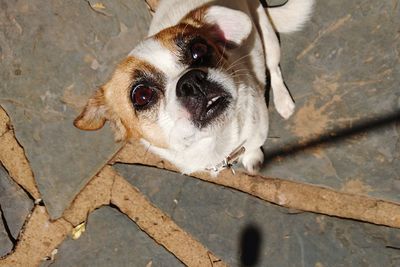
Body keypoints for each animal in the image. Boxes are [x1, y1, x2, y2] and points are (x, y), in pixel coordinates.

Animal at [73, 0, 314, 176]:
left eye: (199, 49)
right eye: (141, 95)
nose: (191, 81)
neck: (216, 141)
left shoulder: (258, 130)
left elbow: (253, 146)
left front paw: (253, 158)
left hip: (267, 36)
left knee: (274, 68)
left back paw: (283, 101)